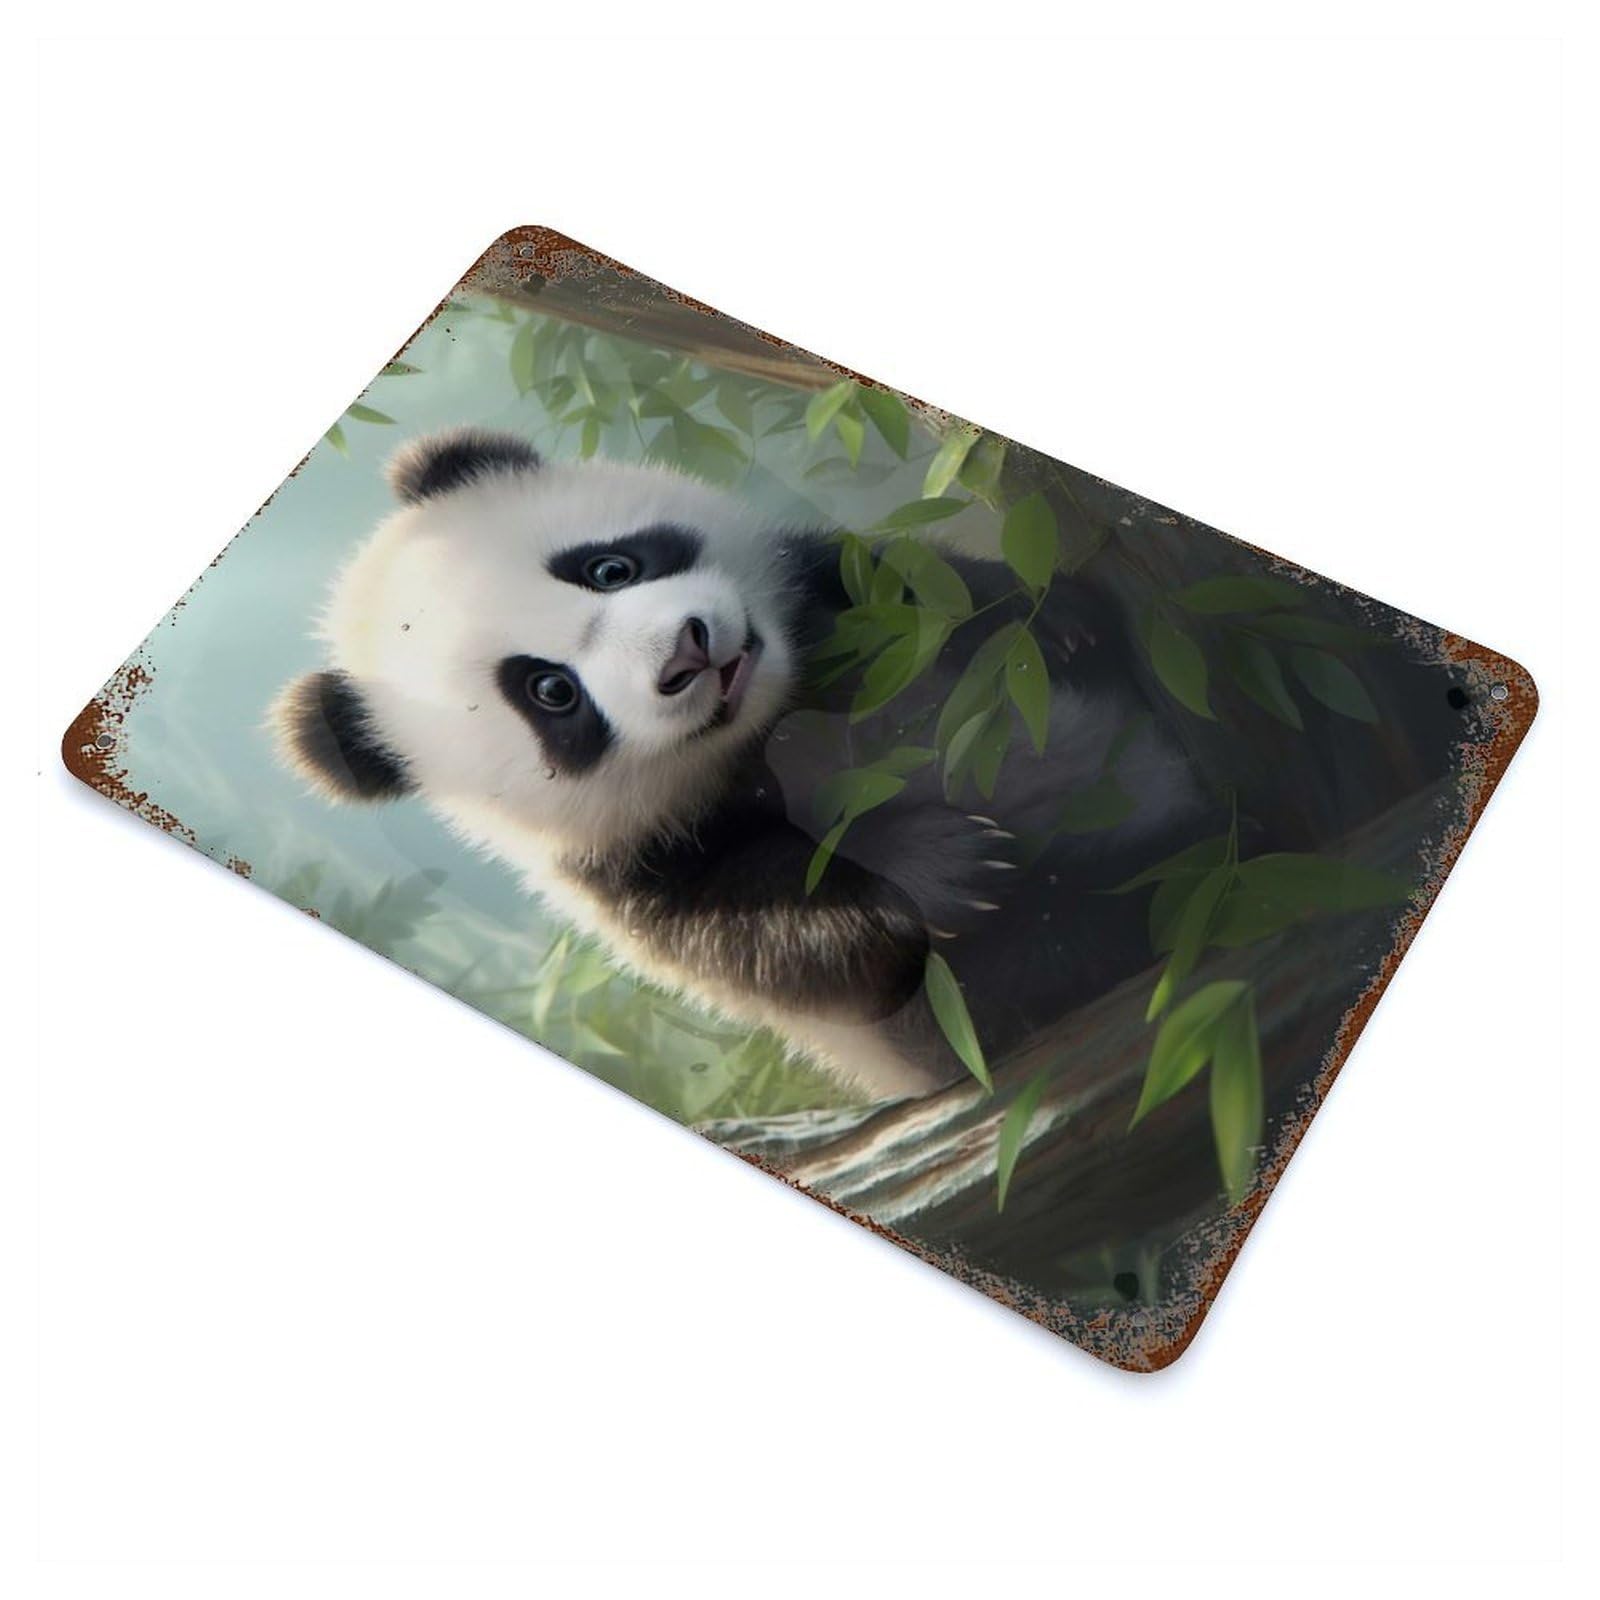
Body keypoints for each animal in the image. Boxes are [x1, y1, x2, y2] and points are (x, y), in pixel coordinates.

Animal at [271, 427, 1212, 1100]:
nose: (688, 653)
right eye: (552, 693)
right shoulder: (636, 869)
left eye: (607, 567)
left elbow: (930, 594)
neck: (781, 716)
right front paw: (947, 865)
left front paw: (1055, 628)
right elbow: (765, 939)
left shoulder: (832, 593)